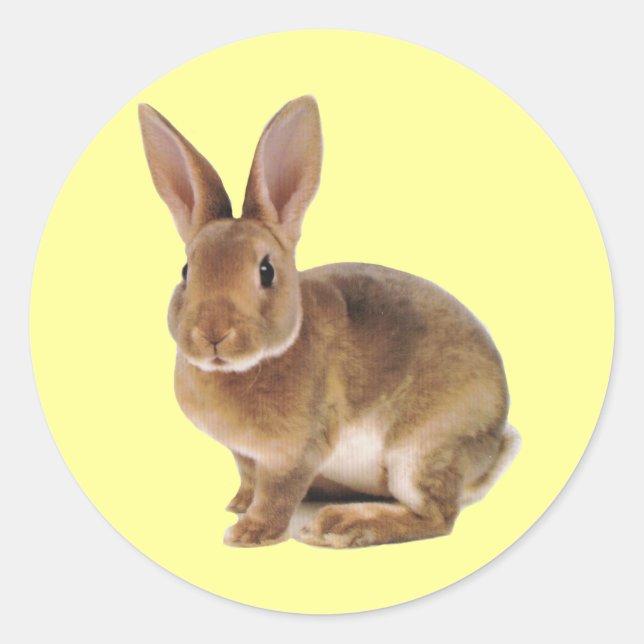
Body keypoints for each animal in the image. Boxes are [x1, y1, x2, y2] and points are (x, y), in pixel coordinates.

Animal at [138, 96, 520, 548]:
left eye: (266, 271)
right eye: (186, 271)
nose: (213, 334)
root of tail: (491, 447)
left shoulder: (295, 452)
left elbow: (277, 494)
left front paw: (249, 533)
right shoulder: (246, 456)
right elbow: (250, 481)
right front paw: (238, 505)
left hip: (421, 451)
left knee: (436, 516)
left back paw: (341, 525)